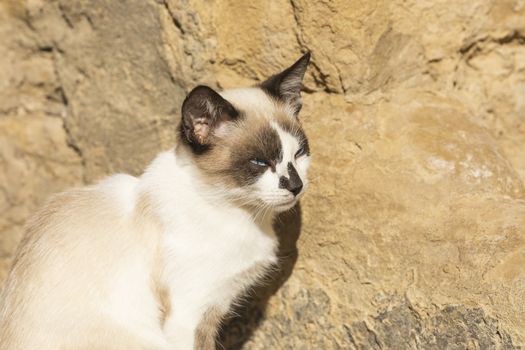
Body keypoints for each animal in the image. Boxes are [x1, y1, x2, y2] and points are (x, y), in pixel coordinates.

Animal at [0, 52, 312, 350]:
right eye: (259, 162)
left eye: (299, 153)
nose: (296, 186)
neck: (240, 212)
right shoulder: (190, 315)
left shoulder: (213, 308)